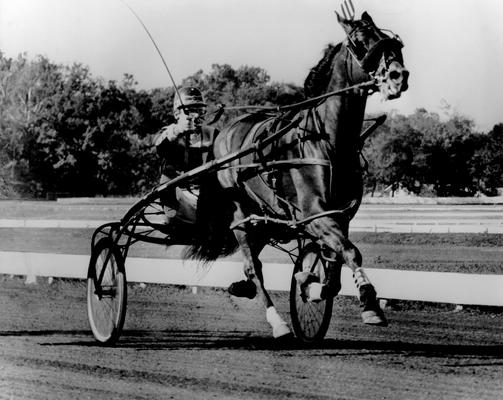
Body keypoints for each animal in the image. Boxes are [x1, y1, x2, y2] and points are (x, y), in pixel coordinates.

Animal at [188, 10, 410, 340]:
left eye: (391, 41)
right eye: (359, 42)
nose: (399, 76)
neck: (327, 139)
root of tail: (224, 132)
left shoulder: (338, 215)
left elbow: (334, 264)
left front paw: (311, 282)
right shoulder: (315, 213)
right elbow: (350, 251)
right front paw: (369, 303)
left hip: (265, 216)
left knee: (255, 257)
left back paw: (246, 287)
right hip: (241, 213)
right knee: (253, 264)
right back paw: (277, 322)